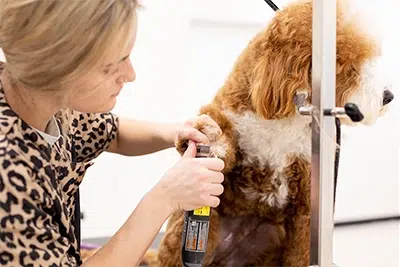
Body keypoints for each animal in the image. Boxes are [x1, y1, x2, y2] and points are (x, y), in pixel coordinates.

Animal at [141, 0, 394, 267]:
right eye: (346, 64)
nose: (388, 96)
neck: (285, 116)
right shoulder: (228, 114)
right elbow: (221, 142)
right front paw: (214, 138)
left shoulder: (306, 204)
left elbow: (302, 250)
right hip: (191, 227)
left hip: (272, 235)